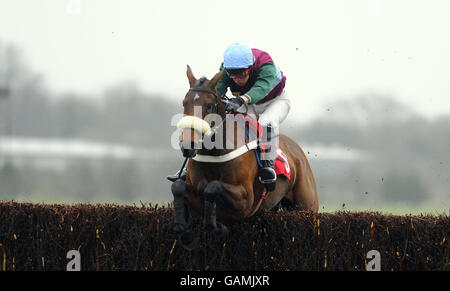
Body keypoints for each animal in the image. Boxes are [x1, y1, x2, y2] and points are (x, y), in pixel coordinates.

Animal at [171, 65, 318, 249]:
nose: (187, 145)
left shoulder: (245, 201)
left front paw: (216, 227)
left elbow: (212, 186)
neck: (216, 153)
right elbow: (178, 187)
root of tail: (297, 151)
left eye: (209, 105)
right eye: (184, 103)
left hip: (306, 207)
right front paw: (185, 232)